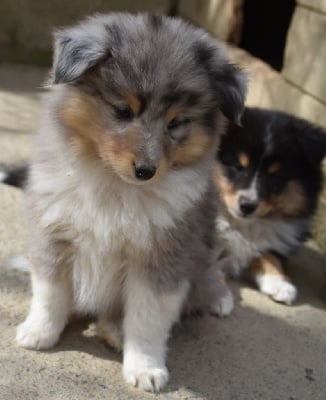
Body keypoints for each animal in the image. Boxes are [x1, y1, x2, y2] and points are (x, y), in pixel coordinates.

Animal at [14, 13, 244, 394]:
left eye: (177, 123)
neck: (115, 185)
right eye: (122, 111)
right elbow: (50, 293)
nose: (146, 171)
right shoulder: (53, 233)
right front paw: (39, 333)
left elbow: (147, 320)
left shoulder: (163, 259)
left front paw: (146, 368)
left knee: (207, 278)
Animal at [214, 106, 326, 304]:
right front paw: (217, 295)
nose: (247, 206)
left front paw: (280, 284)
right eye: (238, 166)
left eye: (275, 176)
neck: (244, 225)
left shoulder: (276, 244)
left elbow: (270, 256)